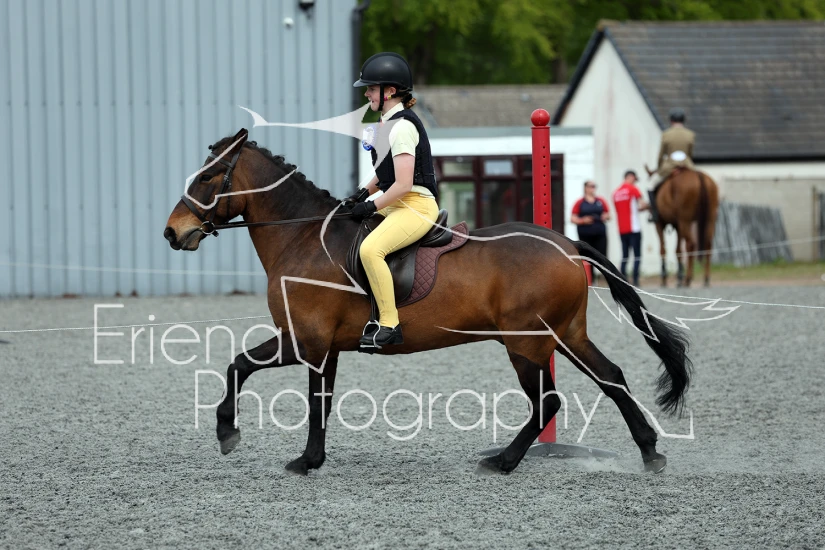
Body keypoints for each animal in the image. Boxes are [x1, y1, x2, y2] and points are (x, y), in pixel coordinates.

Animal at [164, 130, 693, 476]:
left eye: (210, 177)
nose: (173, 232)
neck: (302, 238)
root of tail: (566, 244)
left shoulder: (303, 342)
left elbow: (245, 369)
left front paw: (234, 436)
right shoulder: (325, 348)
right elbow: (319, 401)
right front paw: (312, 458)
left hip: (526, 343)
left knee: (549, 401)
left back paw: (503, 461)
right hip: (565, 335)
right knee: (611, 378)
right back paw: (650, 452)